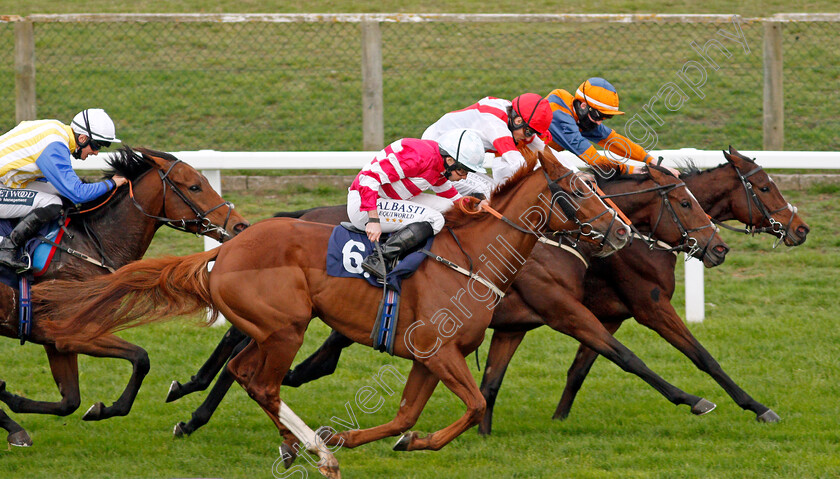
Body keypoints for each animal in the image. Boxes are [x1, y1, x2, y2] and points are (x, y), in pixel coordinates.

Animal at [0, 148, 249, 448]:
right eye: (194, 187)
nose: (240, 225)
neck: (90, 244)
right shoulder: (71, 332)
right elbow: (141, 358)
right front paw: (106, 409)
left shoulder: (56, 338)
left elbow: (70, 401)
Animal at [166, 161, 736, 442]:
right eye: (684, 202)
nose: (718, 247)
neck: (479, 255)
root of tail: (229, 246)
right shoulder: (547, 317)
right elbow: (625, 357)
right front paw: (703, 400)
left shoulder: (463, 345)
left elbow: (444, 405)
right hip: (285, 325)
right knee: (251, 369)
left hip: (284, 325)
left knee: (247, 367)